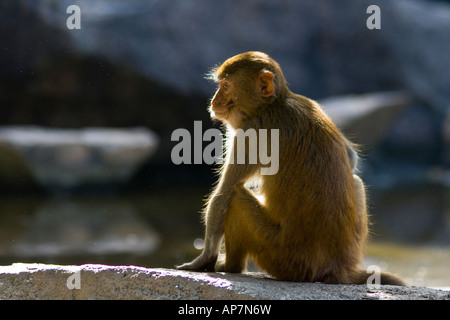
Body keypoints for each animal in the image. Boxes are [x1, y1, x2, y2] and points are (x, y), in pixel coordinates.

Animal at [178, 51, 406, 286]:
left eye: (225, 86)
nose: (214, 102)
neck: (273, 105)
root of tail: (335, 268)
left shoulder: (250, 132)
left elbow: (223, 195)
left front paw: (204, 259)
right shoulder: (311, 102)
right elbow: (351, 159)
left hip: (275, 253)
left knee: (235, 197)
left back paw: (232, 266)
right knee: (356, 181)